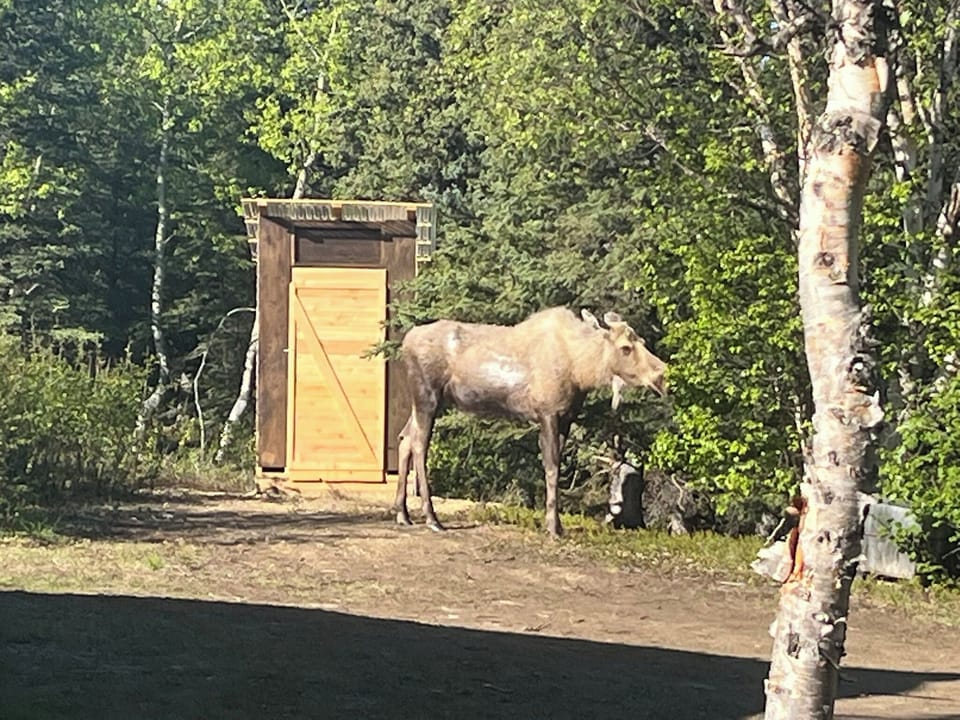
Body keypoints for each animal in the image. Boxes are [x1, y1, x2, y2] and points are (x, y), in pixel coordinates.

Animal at [392, 306, 667, 537]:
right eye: (625, 348)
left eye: (642, 342)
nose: (662, 375)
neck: (580, 371)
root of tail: (405, 342)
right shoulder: (548, 413)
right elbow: (552, 468)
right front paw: (553, 527)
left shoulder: (566, 418)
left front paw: (554, 524)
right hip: (427, 396)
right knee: (419, 445)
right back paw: (431, 518)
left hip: (425, 402)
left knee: (405, 438)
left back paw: (402, 514)